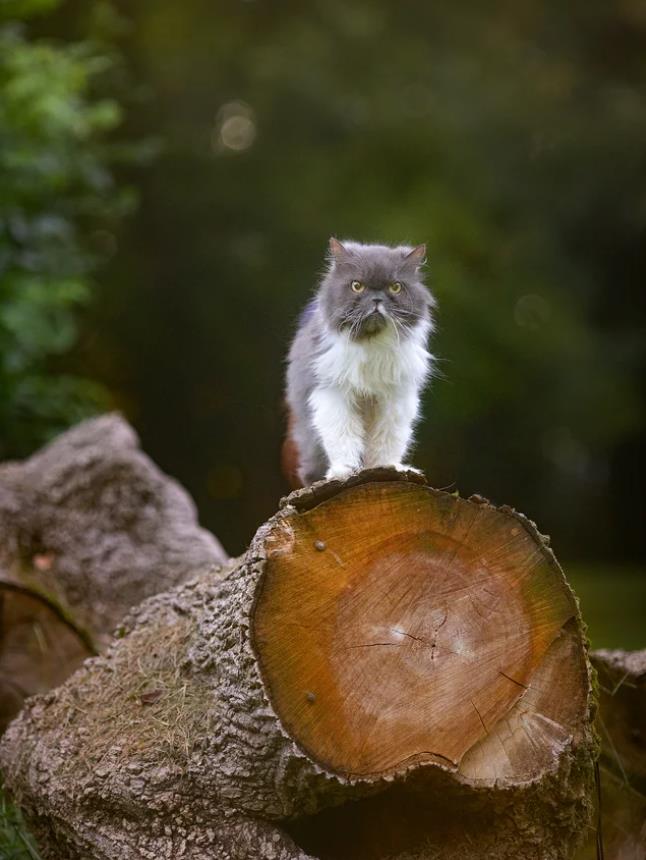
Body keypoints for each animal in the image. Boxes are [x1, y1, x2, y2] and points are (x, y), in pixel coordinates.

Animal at [286, 239, 438, 488]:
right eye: (357, 286)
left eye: (395, 287)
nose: (376, 300)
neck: (371, 343)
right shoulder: (333, 395)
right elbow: (342, 436)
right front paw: (344, 471)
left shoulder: (395, 400)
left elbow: (388, 440)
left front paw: (388, 468)